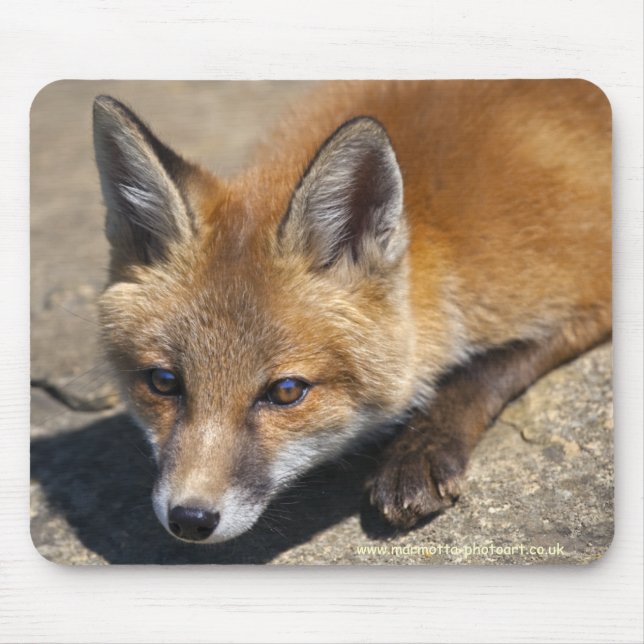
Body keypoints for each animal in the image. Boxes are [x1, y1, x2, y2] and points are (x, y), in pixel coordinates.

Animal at [93, 80, 611, 544]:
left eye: (286, 392)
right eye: (163, 382)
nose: (190, 519)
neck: (445, 242)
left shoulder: (588, 290)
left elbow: (484, 369)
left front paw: (420, 449)